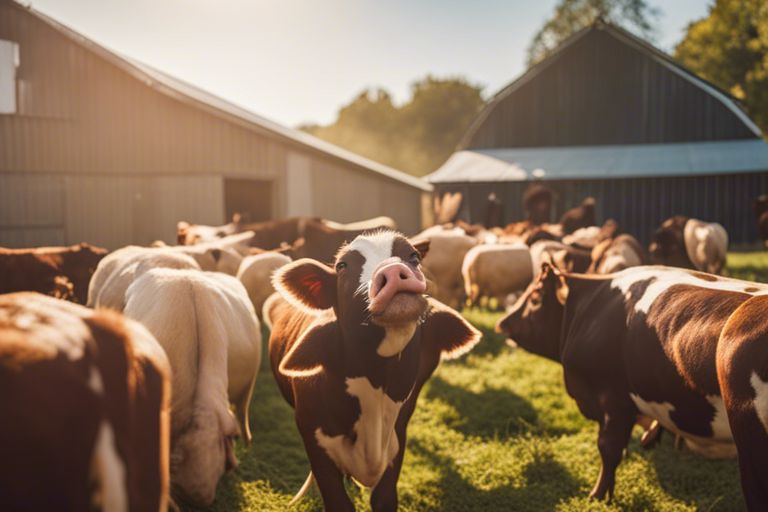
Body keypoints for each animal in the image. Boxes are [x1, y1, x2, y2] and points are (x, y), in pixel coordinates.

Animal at [266, 232, 480, 512]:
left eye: (413, 256)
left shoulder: (395, 447)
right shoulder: (315, 442)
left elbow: (384, 499)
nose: (393, 269)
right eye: (342, 266)